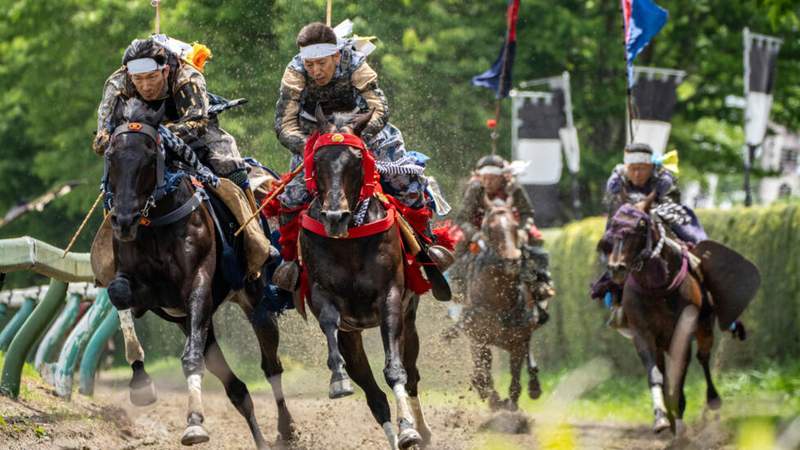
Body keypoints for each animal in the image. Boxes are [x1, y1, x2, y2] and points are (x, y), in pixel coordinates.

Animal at [102, 98, 293, 448]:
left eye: (150, 155)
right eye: (111, 155)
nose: (123, 220)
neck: (157, 224)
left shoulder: (198, 285)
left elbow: (191, 358)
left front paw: (194, 424)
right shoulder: (153, 295)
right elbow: (119, 293)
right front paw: (140, 381)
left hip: (254, 299)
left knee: (271, 365)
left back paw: (286, 430)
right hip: (198, 322)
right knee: (236, 388)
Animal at [298, 105, 431, 449]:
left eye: (356, 160)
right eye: (318, 160)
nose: (335, 217)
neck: (350, 241)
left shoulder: (391, 297)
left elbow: (396, 370)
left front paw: (409, 430)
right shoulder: (323, 295)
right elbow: (329, 319)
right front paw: (338, 380)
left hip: (410, 323)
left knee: (412, 374)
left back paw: (420, 431)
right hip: (353, 336)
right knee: (374, 396)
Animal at [458, 196, 543, 411]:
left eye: (514, 225)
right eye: (490, 227)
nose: (512, 260)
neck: (499, 300)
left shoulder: (518, 341)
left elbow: (515, 381)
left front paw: (510, 406)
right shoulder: (478, 338)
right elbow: (484, 375)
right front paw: (492, 399)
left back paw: (534, 385)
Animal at [605, 194, 721, 435]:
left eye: (640, 226)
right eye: (613, 226)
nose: (616, 267)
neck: (658, 288)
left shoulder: (683, 332)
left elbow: (679, 375)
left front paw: (679, 416)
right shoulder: (643, 334)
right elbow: (655, 374)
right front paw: (661, 417)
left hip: (704, 326)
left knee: (703, 358)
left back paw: (713, 399)